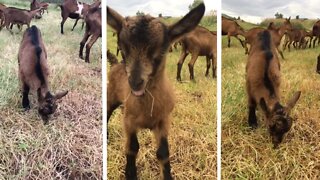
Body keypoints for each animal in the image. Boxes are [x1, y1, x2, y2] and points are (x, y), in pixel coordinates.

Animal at [106, 3, 204, 179]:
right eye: (123, 50)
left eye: (160, 52)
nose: (135, 83)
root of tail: (116, 64)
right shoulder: (129, 122)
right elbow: (132, 148)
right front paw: (130, 173)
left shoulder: (163, 121)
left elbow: (163, 153)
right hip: (111, 97)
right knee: (107, 113)